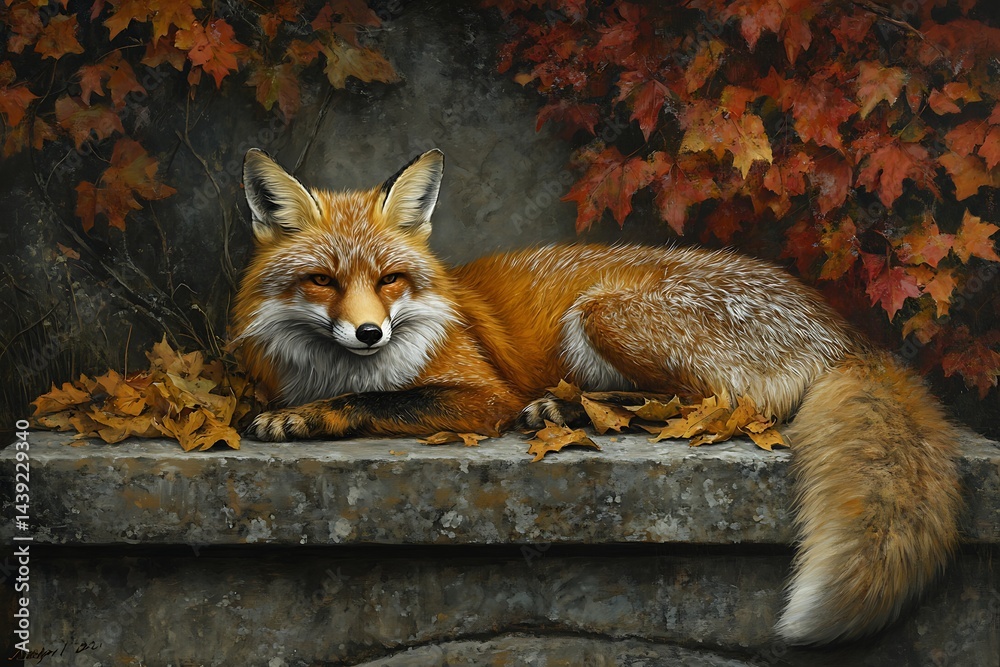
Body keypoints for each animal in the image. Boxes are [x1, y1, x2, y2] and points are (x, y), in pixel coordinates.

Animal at [231, 147, 962, 647]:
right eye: (323, 280)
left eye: (388, 280)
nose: (369, 332)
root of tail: (845, 331)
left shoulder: (480, 395)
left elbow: (379, 403)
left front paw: (303, 418)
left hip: (601, 312)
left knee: (705, 405)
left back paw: (566, 408)